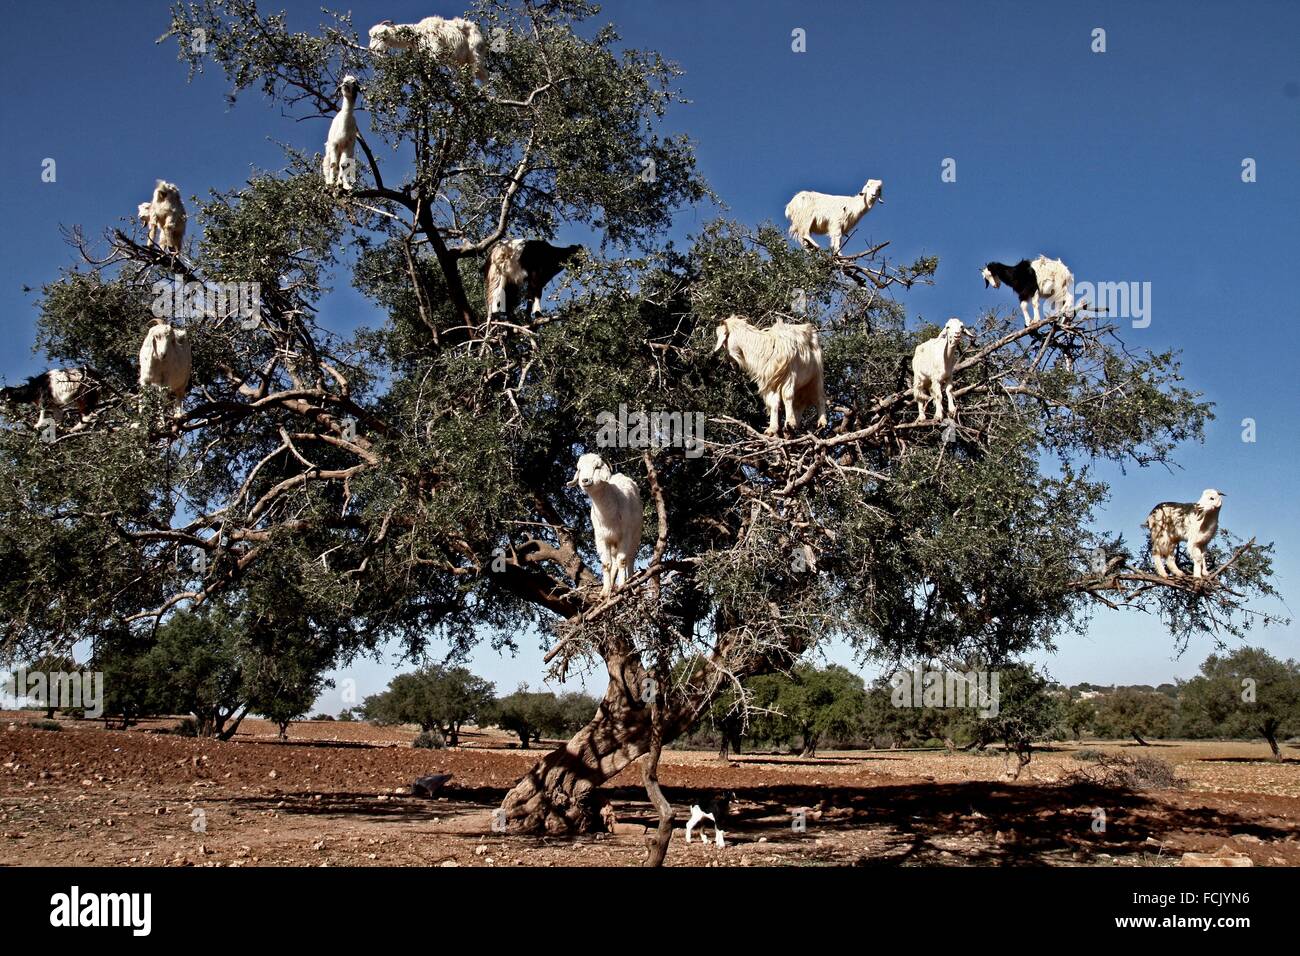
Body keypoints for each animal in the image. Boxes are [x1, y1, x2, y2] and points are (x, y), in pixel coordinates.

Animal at [570, 452, 642, 597]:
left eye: (597, 467)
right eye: (579, 469)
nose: (585, 480)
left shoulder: (625, 535)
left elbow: (622, 561)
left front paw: (622, 586)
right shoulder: (601, 538)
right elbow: (606, 564)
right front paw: (605, 591)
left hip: (635, 535)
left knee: (630, 558)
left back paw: (631, 581)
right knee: (614, 562)